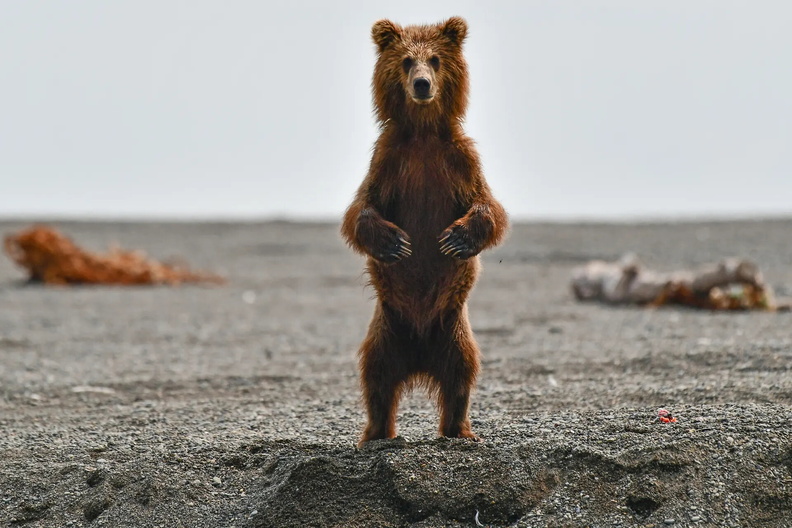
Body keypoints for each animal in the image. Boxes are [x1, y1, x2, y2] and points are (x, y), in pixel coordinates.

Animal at [341, 16, 508, 445]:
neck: (422, 134)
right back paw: (377, 433)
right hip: (386, 330)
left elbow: (490, 208)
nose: (421, 84)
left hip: (453, 331)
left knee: (461, 375)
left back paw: (458, 430)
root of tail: (418, 356)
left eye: (435, 59)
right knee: (377, 378)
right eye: (405, 60)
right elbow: (359, 210)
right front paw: (394, 243)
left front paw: (457, 238)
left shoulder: (459, 161)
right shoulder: (389, 161)